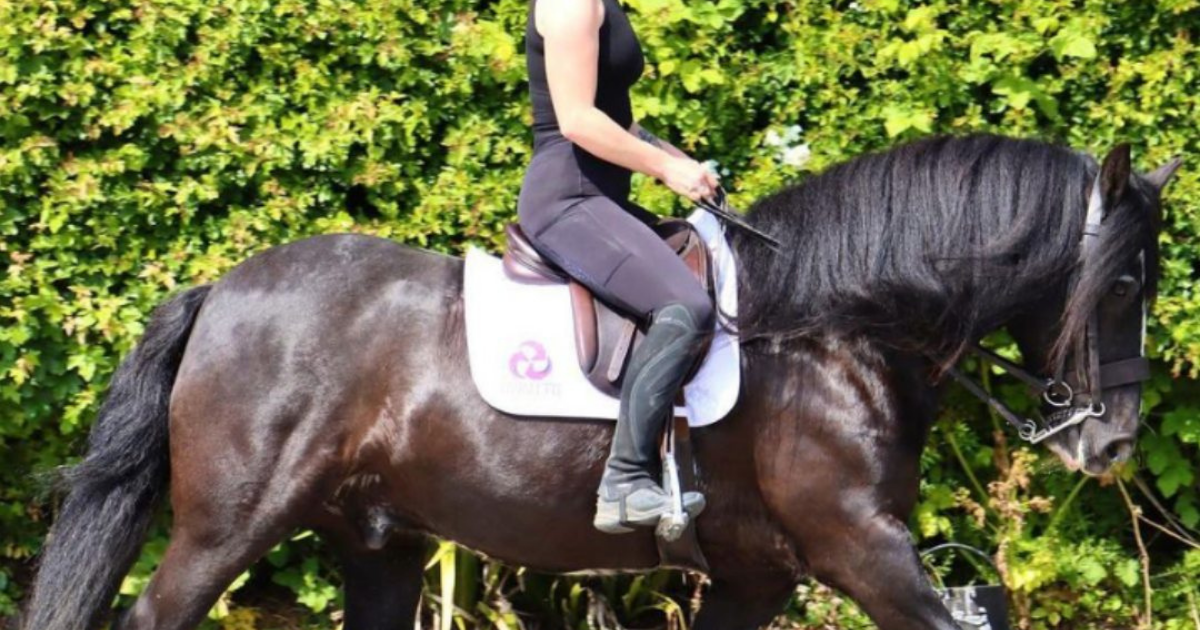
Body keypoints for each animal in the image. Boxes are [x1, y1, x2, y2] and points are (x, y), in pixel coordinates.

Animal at [21, 134, 1180, 630]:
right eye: (1124, 282)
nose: (1112, 444)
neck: (836, 332)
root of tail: (221, 288)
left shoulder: (758, 578)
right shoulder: (863, 549)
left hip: (376, 541)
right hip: (228, 525)